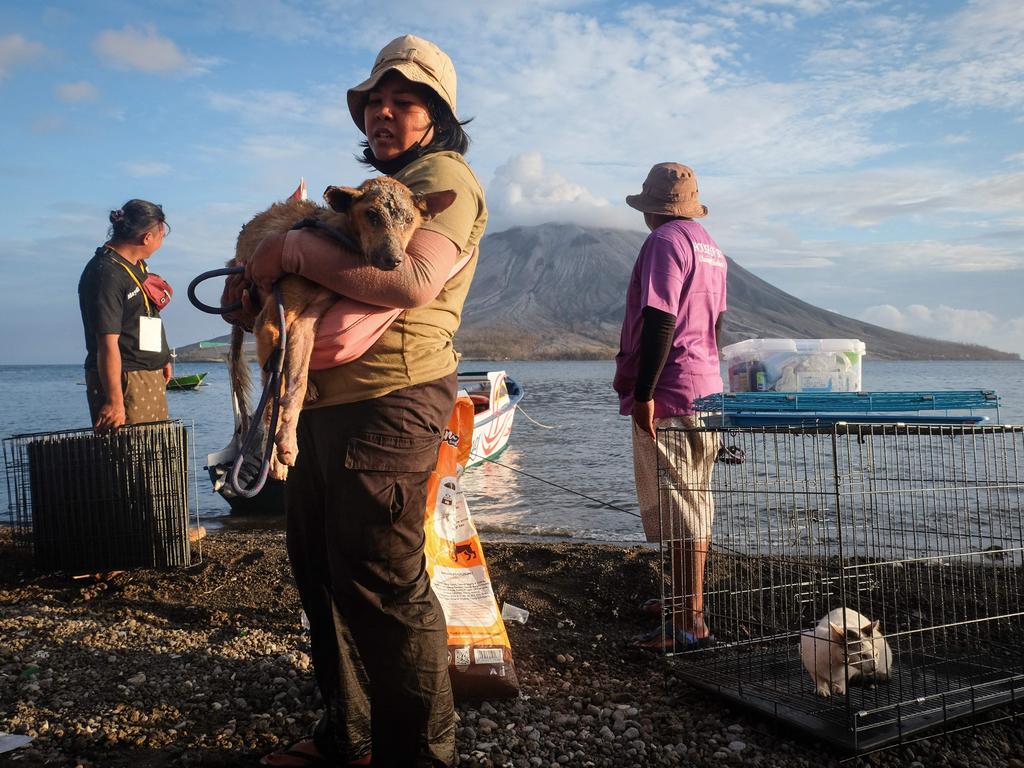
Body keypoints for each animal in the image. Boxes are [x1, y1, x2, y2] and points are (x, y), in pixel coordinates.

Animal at [234, 180, 458, 481]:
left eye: (410, 220)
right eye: (371, 215)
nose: (394, 260)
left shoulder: (308, 322)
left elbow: (296, 383)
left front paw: (287, 442)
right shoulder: (270, 321)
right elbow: (274, 395)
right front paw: (275, 457)